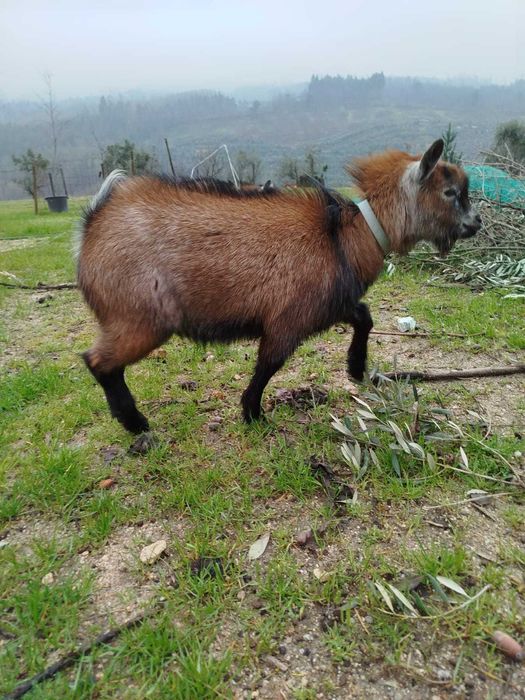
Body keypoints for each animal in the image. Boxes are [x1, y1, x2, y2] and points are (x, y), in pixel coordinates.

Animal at [77, 139, 481, 437]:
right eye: (450, 192)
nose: (475, 223)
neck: (349, 235)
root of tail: (92, 227)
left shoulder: (329, 303)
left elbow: (364, 317)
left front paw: (355, 368)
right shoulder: (288, 319)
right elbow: (269, 364)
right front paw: (253, 413)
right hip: (141, 318)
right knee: (98, 362)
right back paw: (136, 424)